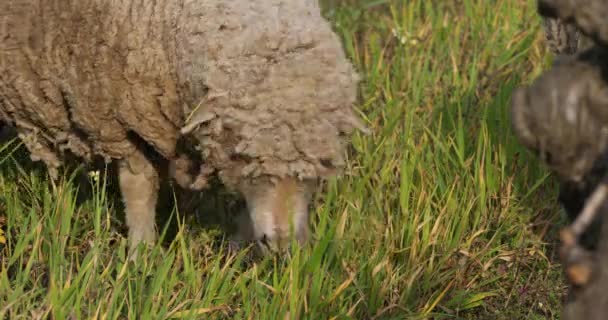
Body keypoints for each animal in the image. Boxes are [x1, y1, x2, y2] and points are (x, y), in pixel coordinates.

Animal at [0, 0, 366, 255]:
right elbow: (138, 189)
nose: (282, 244)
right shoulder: (123, 117)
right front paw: (141, 256)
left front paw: (238, 250)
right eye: (244, 156)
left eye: (323, 166)